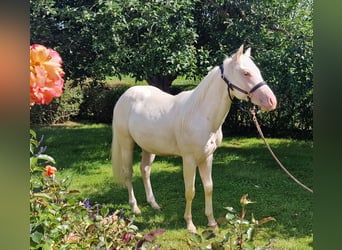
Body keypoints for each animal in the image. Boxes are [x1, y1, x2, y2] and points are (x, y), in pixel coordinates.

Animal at [112, 45, 278, 232]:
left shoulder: (207, 157)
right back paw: (135, 207)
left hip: (148, 147)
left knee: (145, 170)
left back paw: (154, 204)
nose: (271, 101)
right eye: (246, 73)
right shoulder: (189, 159)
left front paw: (212, 222)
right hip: (126, 143)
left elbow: (208, 187)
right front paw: (190, 225)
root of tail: (125, 95)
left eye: (257, 71)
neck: (201, 114)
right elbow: (190, 191)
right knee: (128, 172)